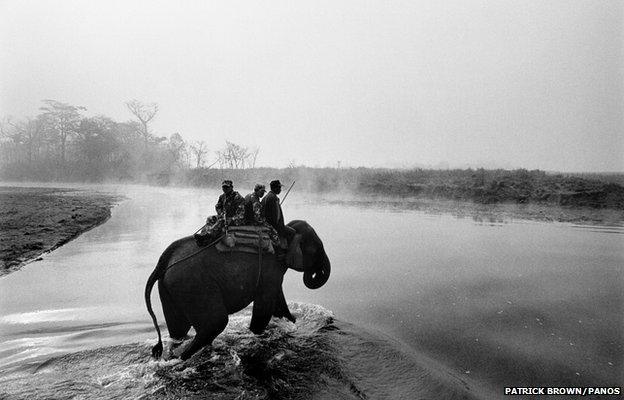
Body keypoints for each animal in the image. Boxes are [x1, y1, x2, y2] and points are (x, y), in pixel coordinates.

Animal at [146, 220, 332, 360]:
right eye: (317, 249)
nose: (316, 271)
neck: (284, 232)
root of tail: (162, 263)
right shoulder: (270, 270)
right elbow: (264, 308)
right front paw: (258, 334)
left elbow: (279, 303)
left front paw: (292, 322)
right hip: (194, 285)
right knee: (215, 322)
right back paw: (183, 357)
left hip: (171, 288)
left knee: (178, 330)